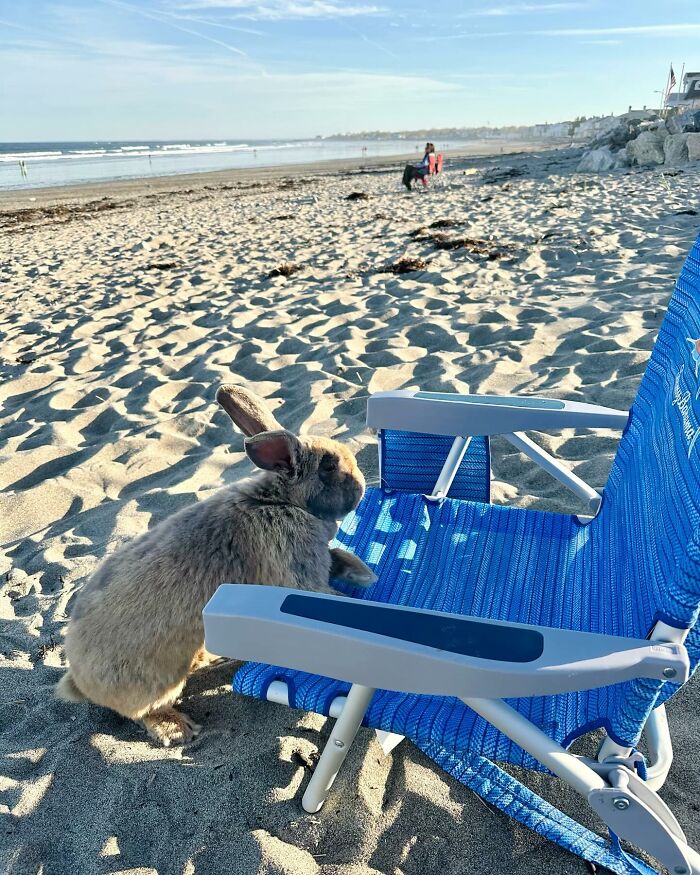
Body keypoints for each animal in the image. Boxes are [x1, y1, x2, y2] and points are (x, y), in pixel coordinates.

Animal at [56, 384, 376, 747]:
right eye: (329, 467)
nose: (361, 488)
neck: (281, 500)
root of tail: (79, 679)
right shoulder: (299, 573)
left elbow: (339, 560)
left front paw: (364, 574)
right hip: (155, 684)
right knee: (143, 712)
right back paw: (177, 728)